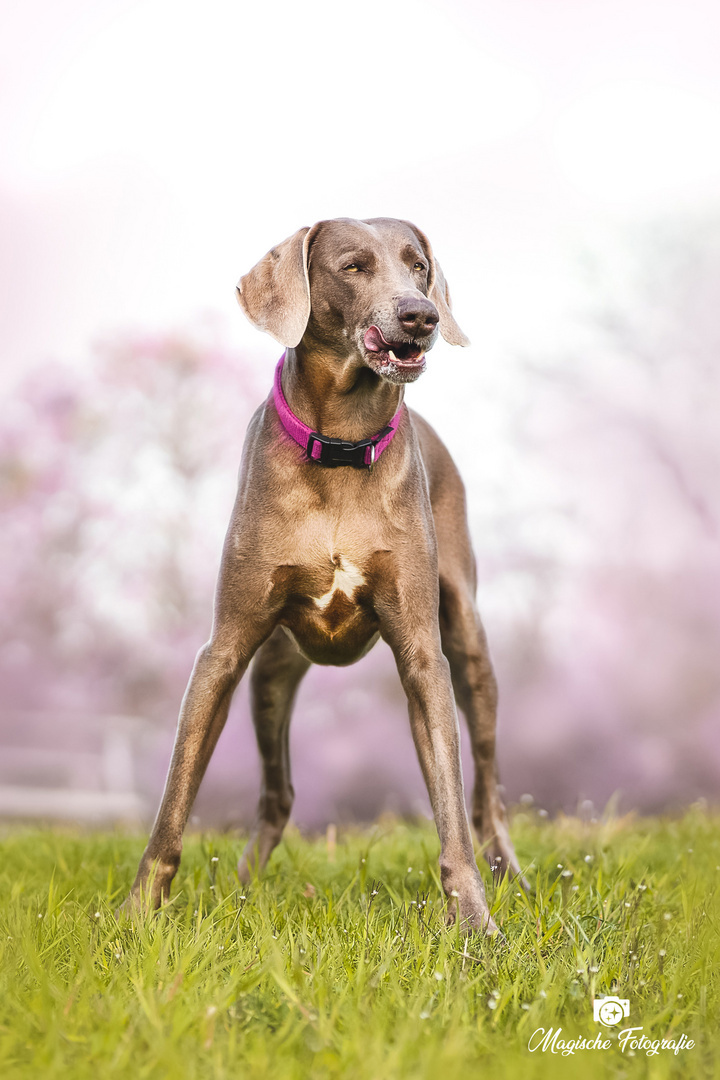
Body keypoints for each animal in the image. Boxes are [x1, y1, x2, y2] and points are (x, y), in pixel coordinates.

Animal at [124, 214, 526, 933]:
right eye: (353, 266)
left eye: (418, 265)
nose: (420, 314)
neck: (341, 443)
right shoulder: (223, 653)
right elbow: (174, 799)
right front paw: (137, 915)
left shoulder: (423, 655)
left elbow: (451, 806)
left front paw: (475, 923)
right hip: (270, 678)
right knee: (278, 794)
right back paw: (244, 888)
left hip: (470, 643)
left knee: (487, 791)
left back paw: (513, 875)